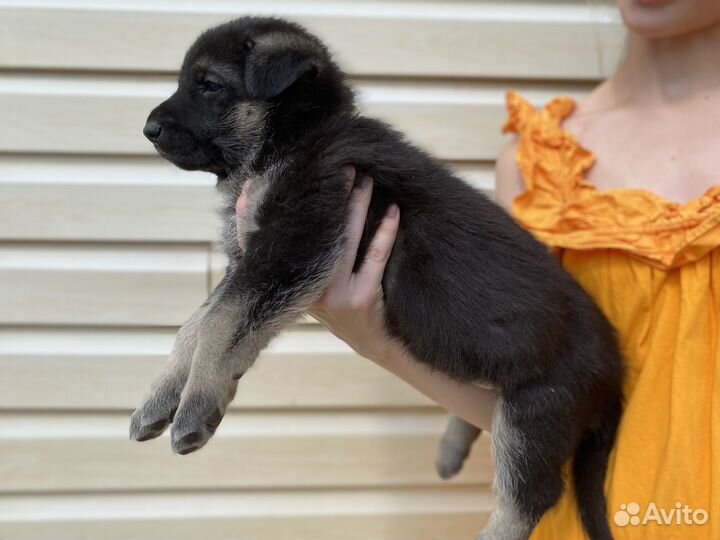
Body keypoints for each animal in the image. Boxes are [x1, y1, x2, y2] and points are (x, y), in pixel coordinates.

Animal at [131, 16, 624, 540]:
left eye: (208, 85)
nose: (148, 129)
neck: (299, 136)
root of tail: (616, 367)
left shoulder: (293, 246)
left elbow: (221, 320)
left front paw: (196, 403)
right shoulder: (253, 259)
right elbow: (199, 324)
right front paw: (163, 397)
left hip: (536, 412)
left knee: (529, 499)